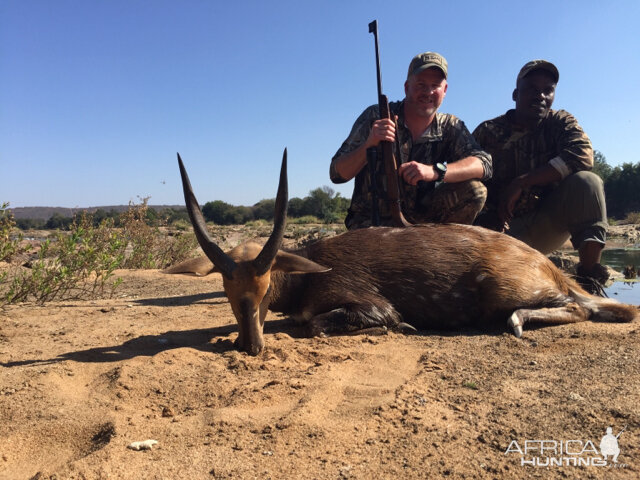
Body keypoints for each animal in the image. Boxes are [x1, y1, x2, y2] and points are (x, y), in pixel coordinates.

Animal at [168, 152, 636, 354]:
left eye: (266, 288)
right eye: (228, 292)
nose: (250, 346)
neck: (306, 277)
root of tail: (545, 265)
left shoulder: (368, 303)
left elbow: (321, 324)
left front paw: (402, 327)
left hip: (508, 290)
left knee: (583, 307)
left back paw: (519, 321)